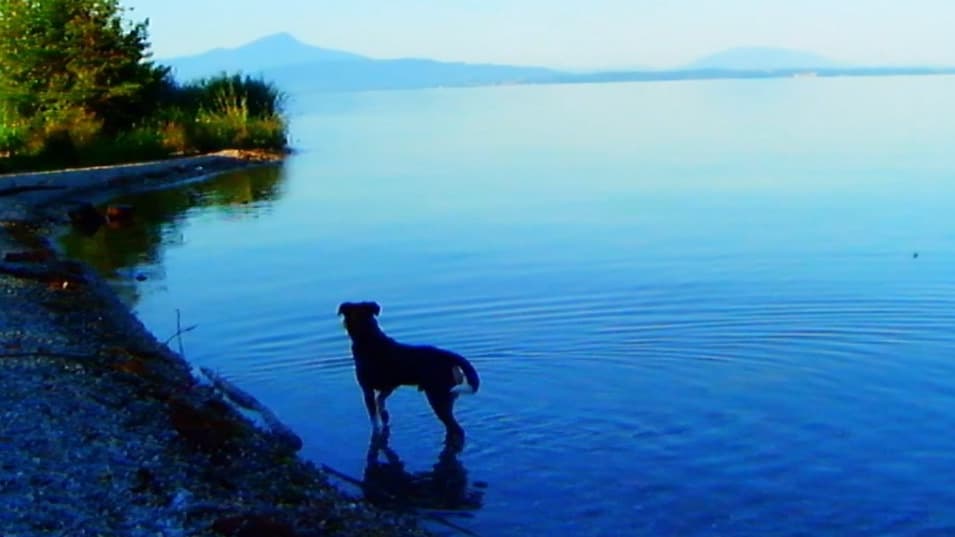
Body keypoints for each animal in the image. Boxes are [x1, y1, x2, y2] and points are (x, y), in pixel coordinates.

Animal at [340, 302, 482, 444]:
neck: (368, 336)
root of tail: (450, 356)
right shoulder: (390, 386)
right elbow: (380, 400)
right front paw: (385, 415)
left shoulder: (367, 389)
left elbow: (374, 418)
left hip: (438, 398)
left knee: (456, 429)